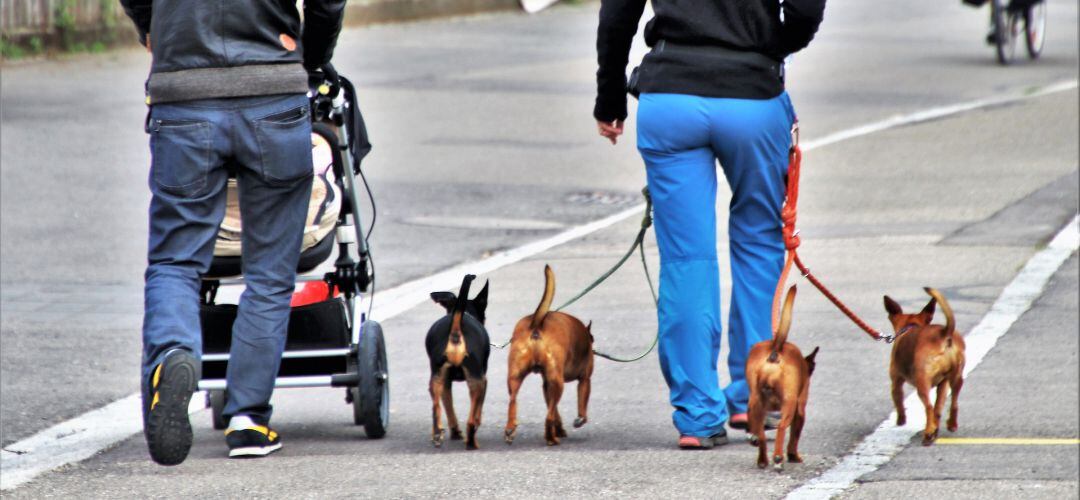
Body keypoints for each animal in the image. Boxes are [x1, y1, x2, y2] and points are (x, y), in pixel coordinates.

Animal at [425, 274, 490, 449]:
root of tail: (456, 331)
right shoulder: (483, 380)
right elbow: (478, 410)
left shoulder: (446, 382)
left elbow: (449, 407)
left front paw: (454, 432)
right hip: (477, 380)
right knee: (471, 420)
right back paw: (472, 442)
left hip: (437, 378)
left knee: (436, 408)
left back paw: (437, 433)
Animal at [503, 265, 596, 447]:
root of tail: (536, 324)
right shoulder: (585, 379)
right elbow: (581, 404)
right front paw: (579, 420)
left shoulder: (546, 385)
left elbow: (555, 410)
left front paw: (559, 428)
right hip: (557, 382)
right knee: (548, 416)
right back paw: (551, 438)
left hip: (515, 377)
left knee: (513, 401)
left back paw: (510, 429)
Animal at [743, 287, 816, 470]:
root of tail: (775, 350)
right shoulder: (800, 410)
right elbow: (794, 437)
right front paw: (793, 456)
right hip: (789, 404)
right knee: (782, 428)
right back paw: (777, 458)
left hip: (754, 404)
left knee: (760, 434)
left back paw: (762, 459)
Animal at [881, 287, 967, 449]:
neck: (911, 326)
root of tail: (944, 334)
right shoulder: (943, 384)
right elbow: (938, 408)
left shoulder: (896, 381)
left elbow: (898, 401)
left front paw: (901, 420)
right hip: (956, 379)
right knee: (949, 405)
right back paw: (949, 425)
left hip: (922, 384)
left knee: (929, 407)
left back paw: (928, 434)